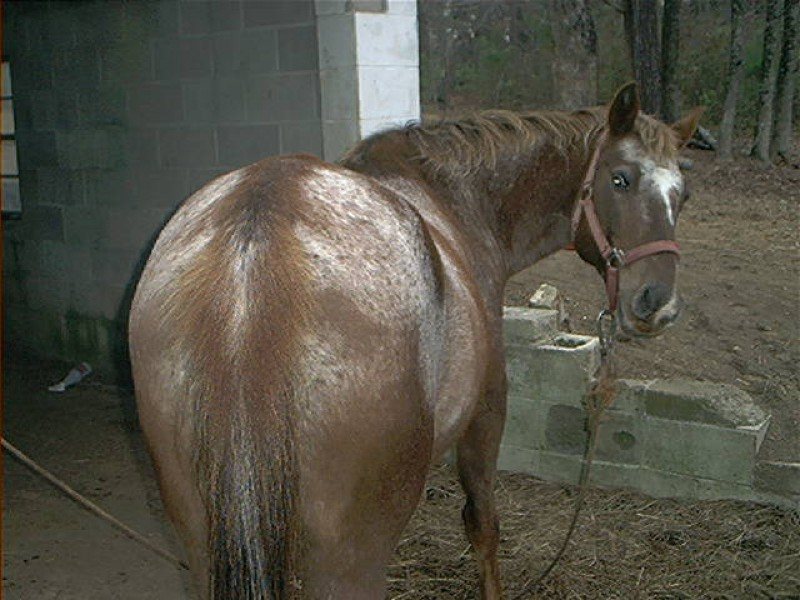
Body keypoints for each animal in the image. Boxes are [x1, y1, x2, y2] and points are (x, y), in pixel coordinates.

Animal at [129, 83, 702, 599]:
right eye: (620, 179)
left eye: (683, 195)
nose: (658, 303)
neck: (457, 202)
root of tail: (255, 250)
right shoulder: (486, 411)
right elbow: (482, 524)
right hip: (349, 558)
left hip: (204, 543)